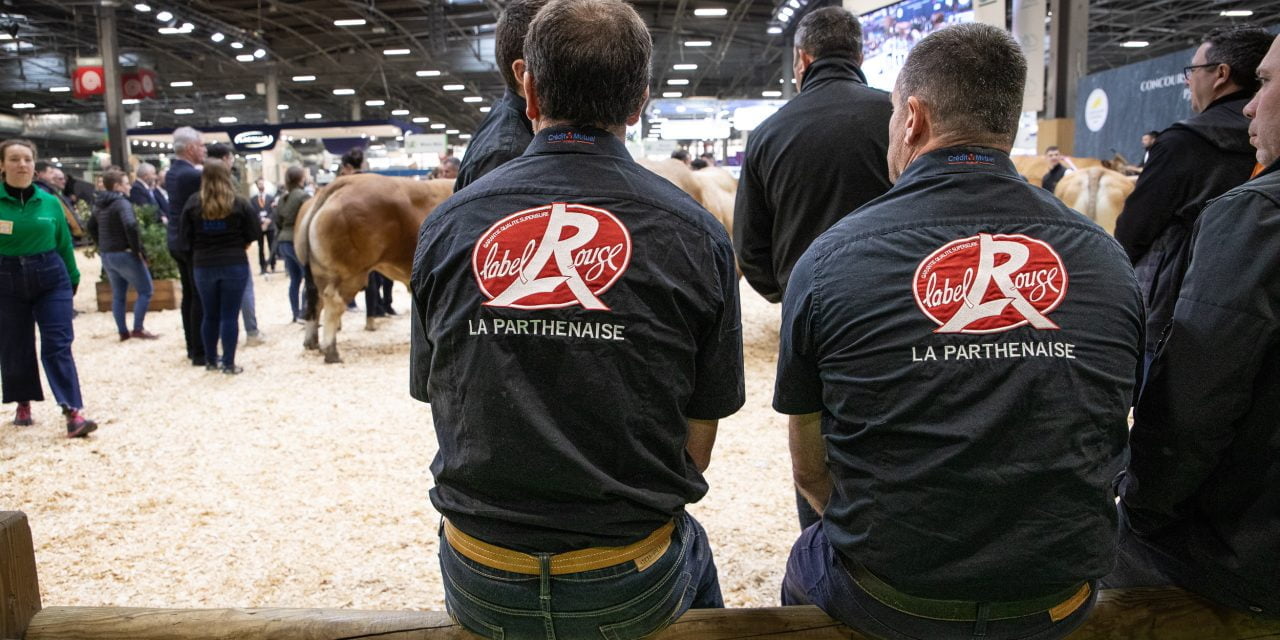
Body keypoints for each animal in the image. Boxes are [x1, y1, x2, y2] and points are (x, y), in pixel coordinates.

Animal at [296, 172, 458, 363]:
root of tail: (346, 181)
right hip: (349, 274)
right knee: (333, 304)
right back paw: (331, 351)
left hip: (319, 271)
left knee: (315, 299)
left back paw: (312, 342)